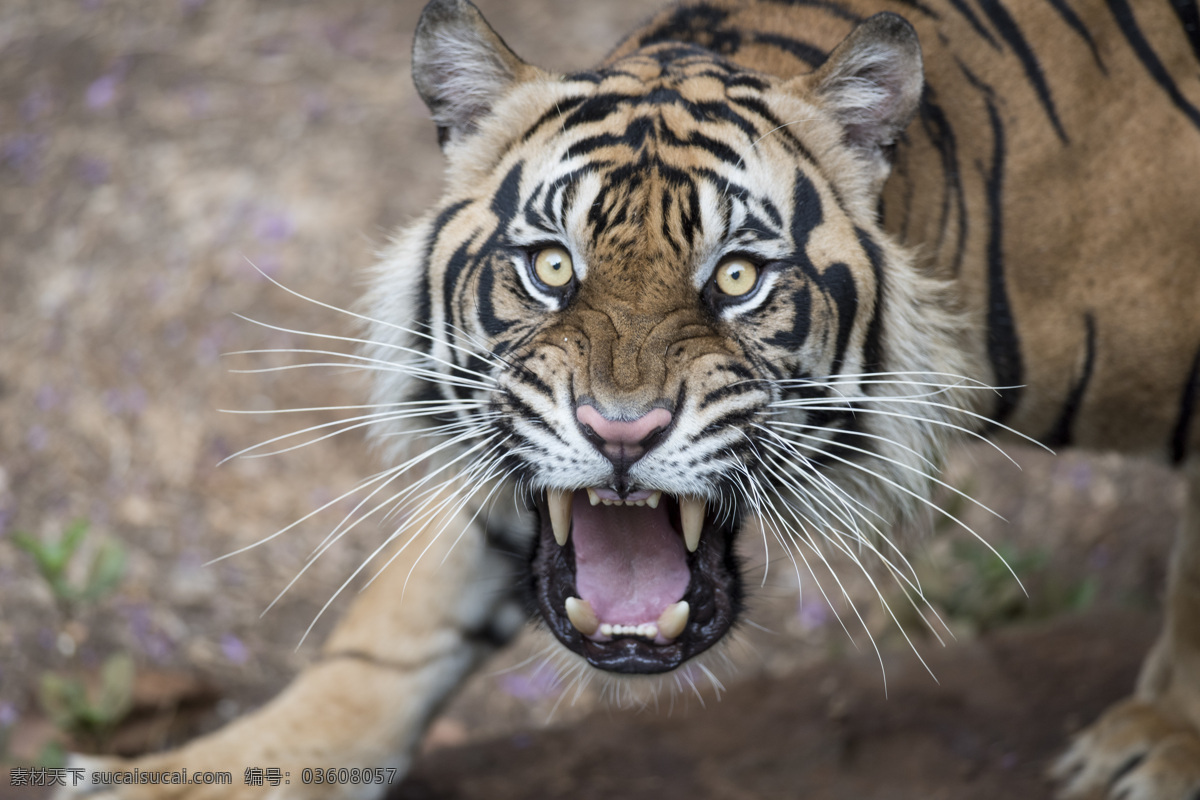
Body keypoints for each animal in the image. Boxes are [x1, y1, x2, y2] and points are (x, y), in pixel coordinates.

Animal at [58, 0, 1200, 796]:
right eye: (553, 266)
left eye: (735, 276)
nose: (620, 432)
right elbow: (404, 608)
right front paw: (204, 774)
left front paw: (1162, 742)